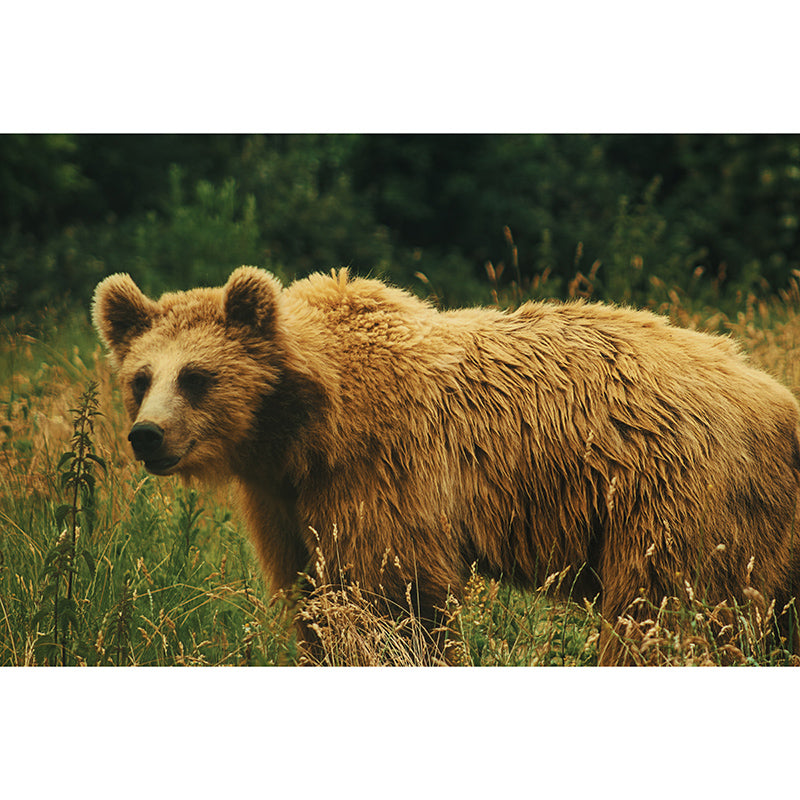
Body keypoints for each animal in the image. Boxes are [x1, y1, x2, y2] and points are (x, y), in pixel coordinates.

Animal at [92, 266, 800, 665]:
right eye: (141, 376)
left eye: (197, 377)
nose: (147, 436)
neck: (303, 427)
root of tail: (772, 395)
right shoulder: (287, 502)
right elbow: (316, 600)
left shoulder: (381, 476)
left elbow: (392, 600)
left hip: (672, 495)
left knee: (663, 614)